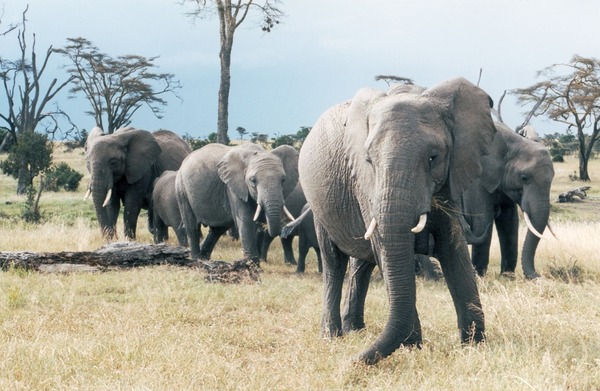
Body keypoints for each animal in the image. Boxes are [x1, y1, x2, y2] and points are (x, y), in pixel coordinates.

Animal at [298, 78, 494, 366]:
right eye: (369, 160)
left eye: (434, 158)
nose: (349, 364)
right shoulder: (365, 183)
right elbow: (386, 250)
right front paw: (413, 348)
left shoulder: (450, 176)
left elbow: (453, 247)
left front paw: (474, 345)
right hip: (318, 204)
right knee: (334, 261)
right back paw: (332, 336)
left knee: (362, 264)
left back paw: (355, 330)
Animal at [462, 121, 556, 278]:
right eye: (524, 178)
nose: (539, 276)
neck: (514, 143)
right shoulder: (475, 181)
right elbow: (483, 221)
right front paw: (480, 277)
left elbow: (510, 222)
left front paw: (507, 276)